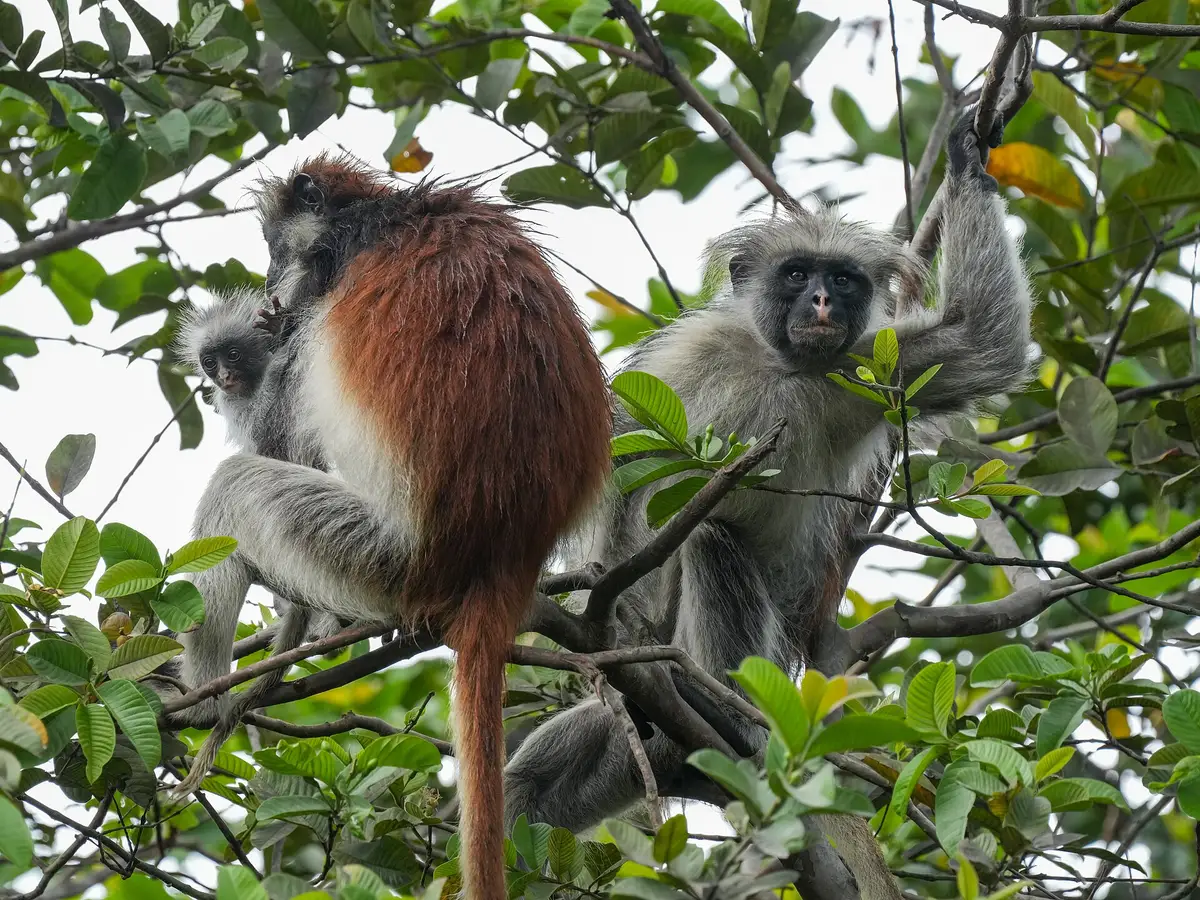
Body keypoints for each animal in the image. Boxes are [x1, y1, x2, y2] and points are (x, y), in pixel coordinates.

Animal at [166, 155, 613, 900]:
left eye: (273, 249)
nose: (269, 281)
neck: (386, 215)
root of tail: (508, 548)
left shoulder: (319, 298)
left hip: (381, 553)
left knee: (237, 487)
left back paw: (204, 701)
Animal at [501, 108, 1032, 900]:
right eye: (797, 274)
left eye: (842, 279)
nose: (822, 302)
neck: (782, 365)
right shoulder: (690, 359)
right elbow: (616, 477)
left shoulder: (866, 364)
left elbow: (982, 344)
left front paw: (969, 163)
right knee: (530, 785)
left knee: (709, 538)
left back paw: (731, 716)